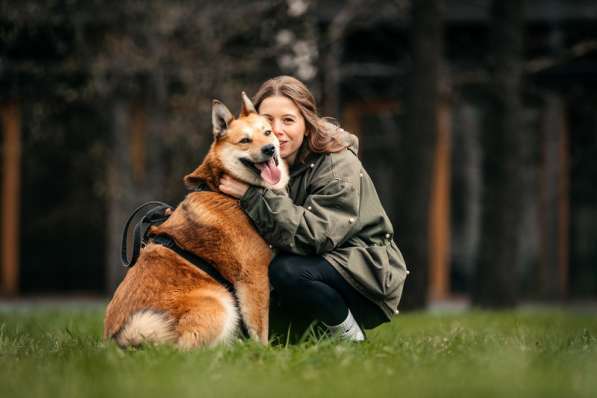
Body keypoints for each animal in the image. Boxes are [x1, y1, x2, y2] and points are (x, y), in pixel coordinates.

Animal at [103, 93, 288, 348]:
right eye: (245, 140)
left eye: (267, 132)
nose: (270, 149)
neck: (227, 193)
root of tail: (120, 342)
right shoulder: (254, 276)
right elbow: (260, 330)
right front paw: (264, 353)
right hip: (219, 302)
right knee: (189, 351)